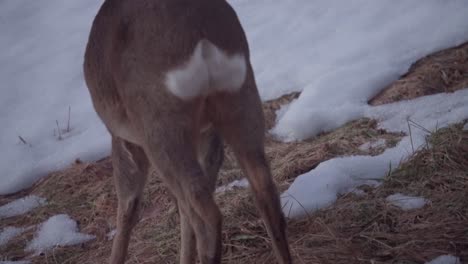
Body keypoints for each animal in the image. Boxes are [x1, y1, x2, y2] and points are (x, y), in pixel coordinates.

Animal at [82, 0, 290, 262]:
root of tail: (200, 36)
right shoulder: (205, 132)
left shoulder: (124, 139)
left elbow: (128, 205)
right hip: (241, 98)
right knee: (264, 189)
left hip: (160, 126)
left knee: (205, 213)